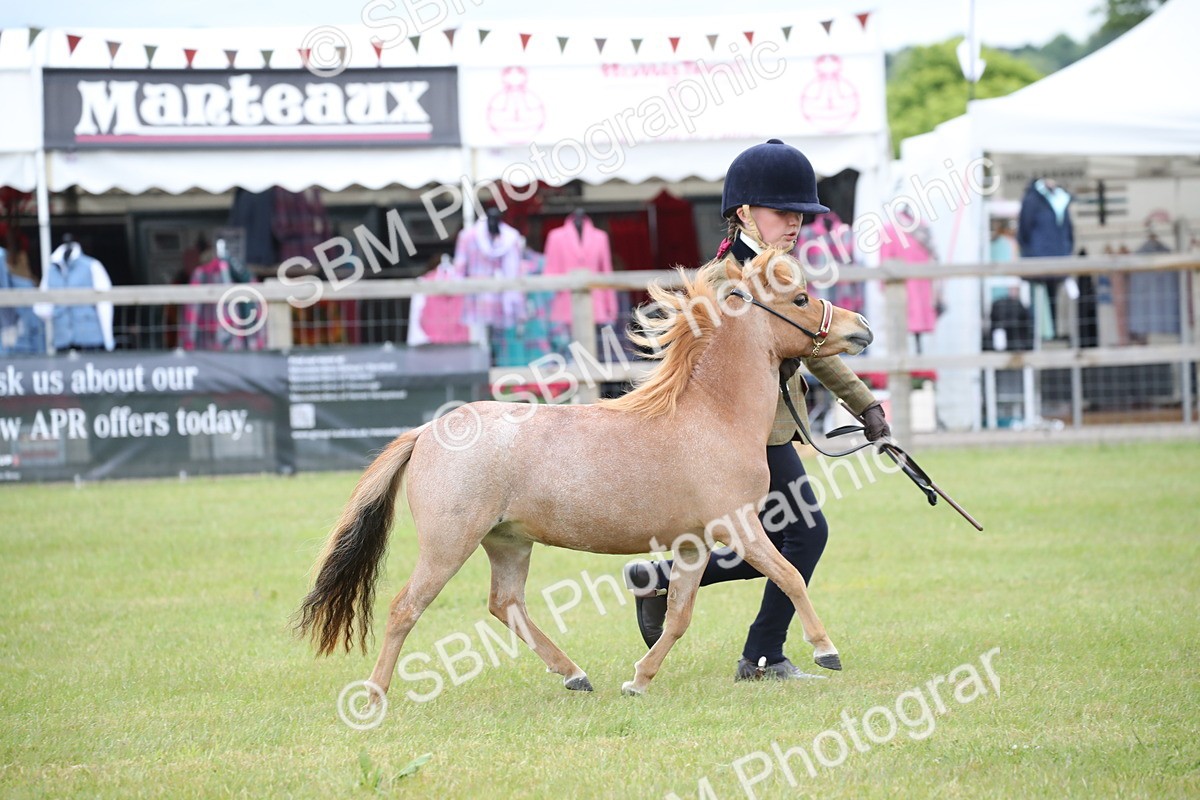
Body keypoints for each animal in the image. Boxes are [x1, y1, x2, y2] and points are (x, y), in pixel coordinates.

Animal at [295, 247, 873, 700]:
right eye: (800, 300)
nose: (861, 330)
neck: (711, 415)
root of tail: (429, 432)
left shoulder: (694, 542)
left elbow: (679, 615)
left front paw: (639, 679)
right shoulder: (740, 527)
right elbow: (790, 575)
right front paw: (826, 650)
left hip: (508, 542)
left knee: (505, 604)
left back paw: (575, 674)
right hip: (448, 544)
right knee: (404, 609)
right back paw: (375, 696)